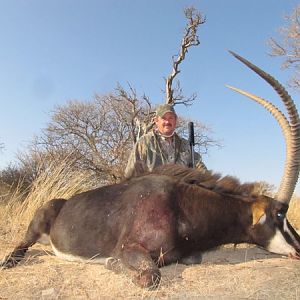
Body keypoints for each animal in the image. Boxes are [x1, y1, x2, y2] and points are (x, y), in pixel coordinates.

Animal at [0, 52, 300, 288]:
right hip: (34, 228)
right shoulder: (131, 249)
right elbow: (149, 276)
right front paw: (112, 263)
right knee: (21, 245)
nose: (298, 248)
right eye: (279, 215)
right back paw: (9, 261)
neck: (181, 205)